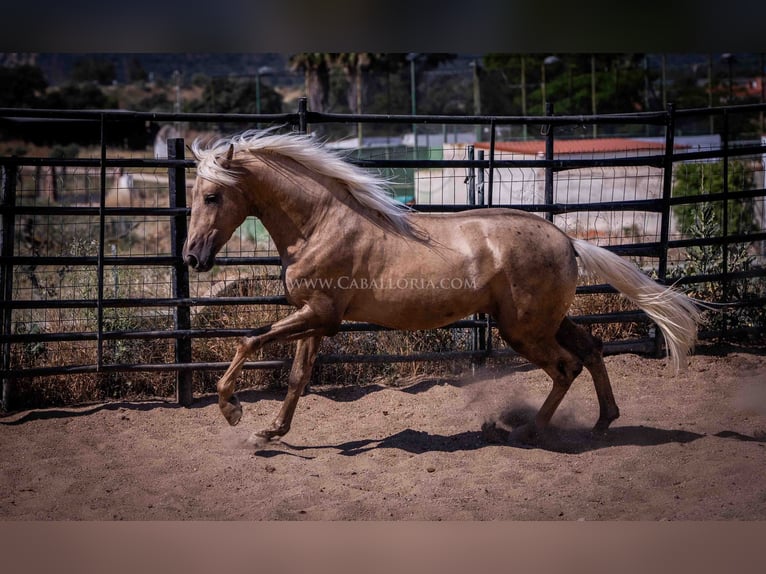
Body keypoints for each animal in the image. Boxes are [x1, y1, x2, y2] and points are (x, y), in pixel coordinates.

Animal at [184, 129, 704, 446]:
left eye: (211, 196)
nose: (192, 257)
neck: (320, 225)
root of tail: (569, 240)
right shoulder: (314, 318)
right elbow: (296, 377)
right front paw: (271, 432)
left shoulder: (319, 315)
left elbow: (249, 340)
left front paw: (232, 410)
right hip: (544, 321)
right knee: (592, 349)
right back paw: (602, 422)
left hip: (523, 331)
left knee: (565, 366)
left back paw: (524, 432)